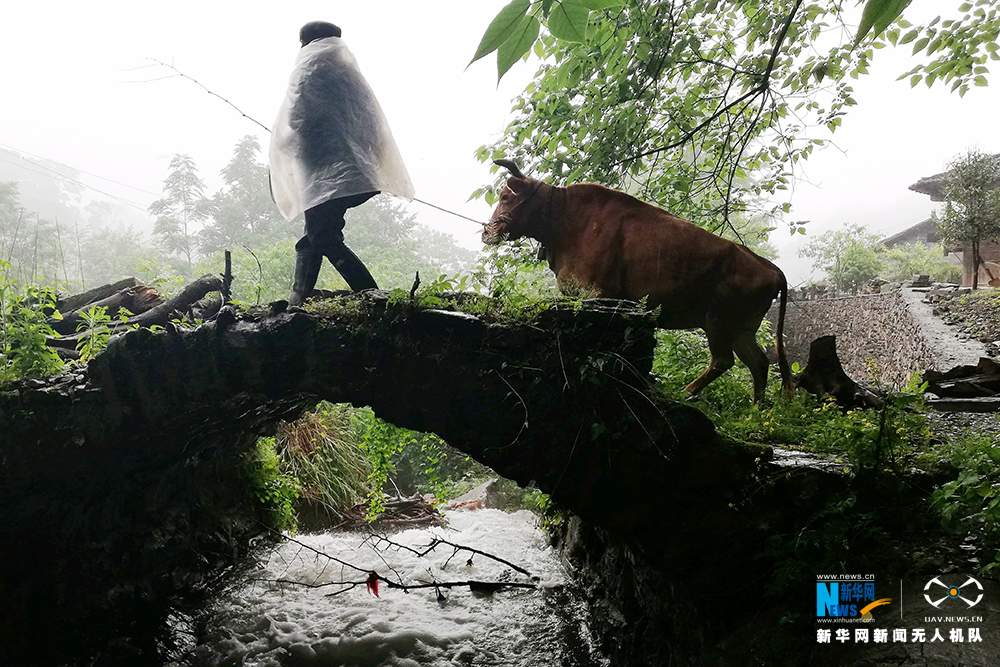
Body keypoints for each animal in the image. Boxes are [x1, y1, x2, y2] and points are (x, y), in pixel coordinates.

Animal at [486, 160, 796, 408]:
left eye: (505, 196)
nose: (487, 231)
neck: (565, 219)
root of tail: (769, 266)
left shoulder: (600, 294)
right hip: (742, 329)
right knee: (758, 362)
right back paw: (755, 410)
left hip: (718, 320)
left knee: (724, 360)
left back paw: (685, 393)